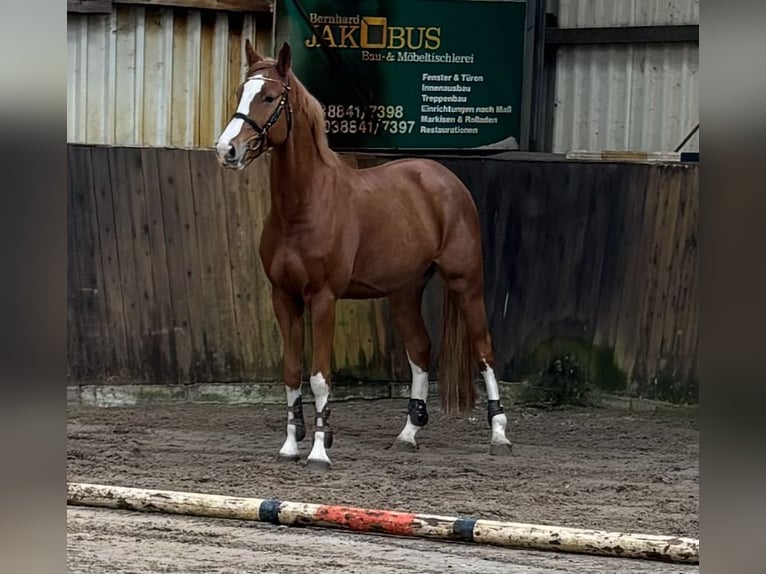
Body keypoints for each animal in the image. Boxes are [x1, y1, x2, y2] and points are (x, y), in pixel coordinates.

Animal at [216, 42, 512, 470]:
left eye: (269, 97)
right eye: (241, 92)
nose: (227, 150)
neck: (303, 207)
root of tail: (444, 179)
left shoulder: (323, 298)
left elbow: (320, 376)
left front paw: (319, 452)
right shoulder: (283, 297)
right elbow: (291, 370)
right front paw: (290, 446)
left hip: (465, 281)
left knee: (484, 349)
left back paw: (499, 435)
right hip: (404, 292)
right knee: (420, 350)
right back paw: (408, 434)